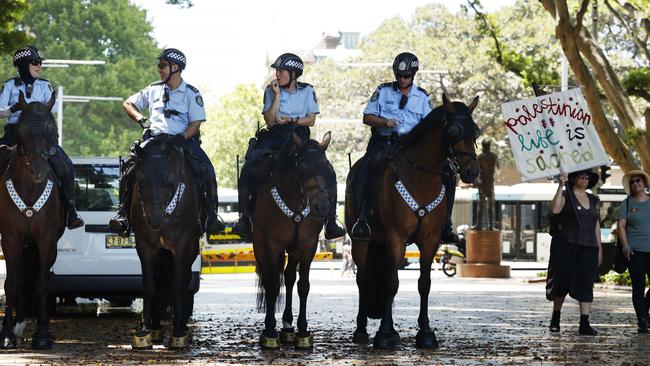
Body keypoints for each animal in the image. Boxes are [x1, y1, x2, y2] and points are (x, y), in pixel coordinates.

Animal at [128, 134, 200, 348]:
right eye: (141, 179)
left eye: (170, 180)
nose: (155, 219)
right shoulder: (145, 246)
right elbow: (149, 286)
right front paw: (144, 331)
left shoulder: (182, 245)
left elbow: (177, 285)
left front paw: (178, 333)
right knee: (160, 282)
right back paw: (157, 327)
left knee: (182, 282)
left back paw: (181, 325)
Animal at [253, 133, 332, 350]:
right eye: (303, 166)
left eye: (326, 166)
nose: (322, 206)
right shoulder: (271, 244)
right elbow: (272, 285)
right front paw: (269, 331)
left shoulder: (307, 244)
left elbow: (302, 285)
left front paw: (303, 331)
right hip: (260, 247)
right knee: (270, 279)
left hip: (293, 250)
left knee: (288, 278)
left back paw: (288, 326)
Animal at [344, 93, 480, 348]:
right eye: (454, 131)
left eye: (476, 131)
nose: (472, 172)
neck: (421, 179)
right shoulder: (396, 238)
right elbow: (391, 283)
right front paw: (383, 334)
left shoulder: (430, 241)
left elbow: (423, 284)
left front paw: (425, 331)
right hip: (361, 241)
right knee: (363, 278)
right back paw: (362, 330)